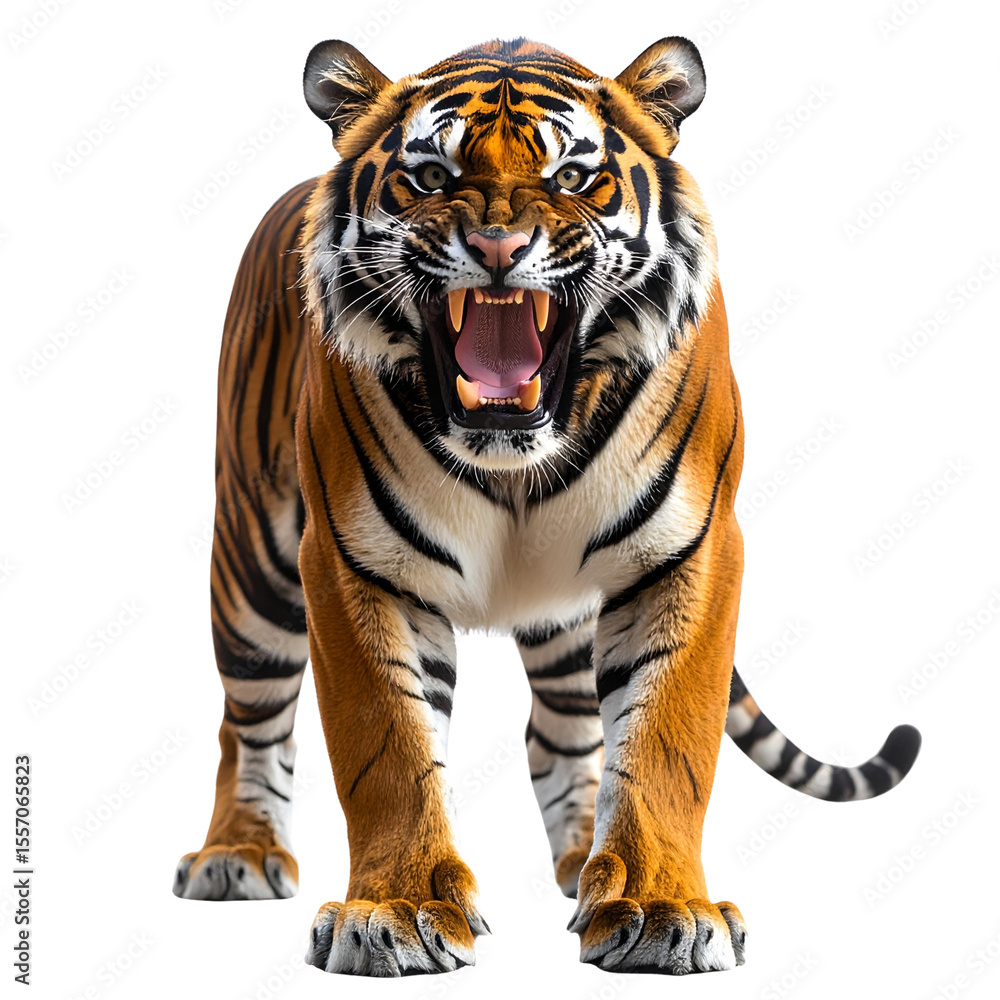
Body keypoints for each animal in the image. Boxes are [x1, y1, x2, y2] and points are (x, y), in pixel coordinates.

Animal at [172, 35, 922, 977]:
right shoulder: (351, 563)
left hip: (566, 612)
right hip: (253, 566)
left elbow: (665, 742)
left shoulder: (693, 552)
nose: (497, 246)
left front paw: (661, 906)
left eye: (572, 177)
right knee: (250, 721)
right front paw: (397, 911)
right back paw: (237, 853)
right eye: (430, 176)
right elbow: (387, 745)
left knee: (561, 731)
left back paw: (584, 866)